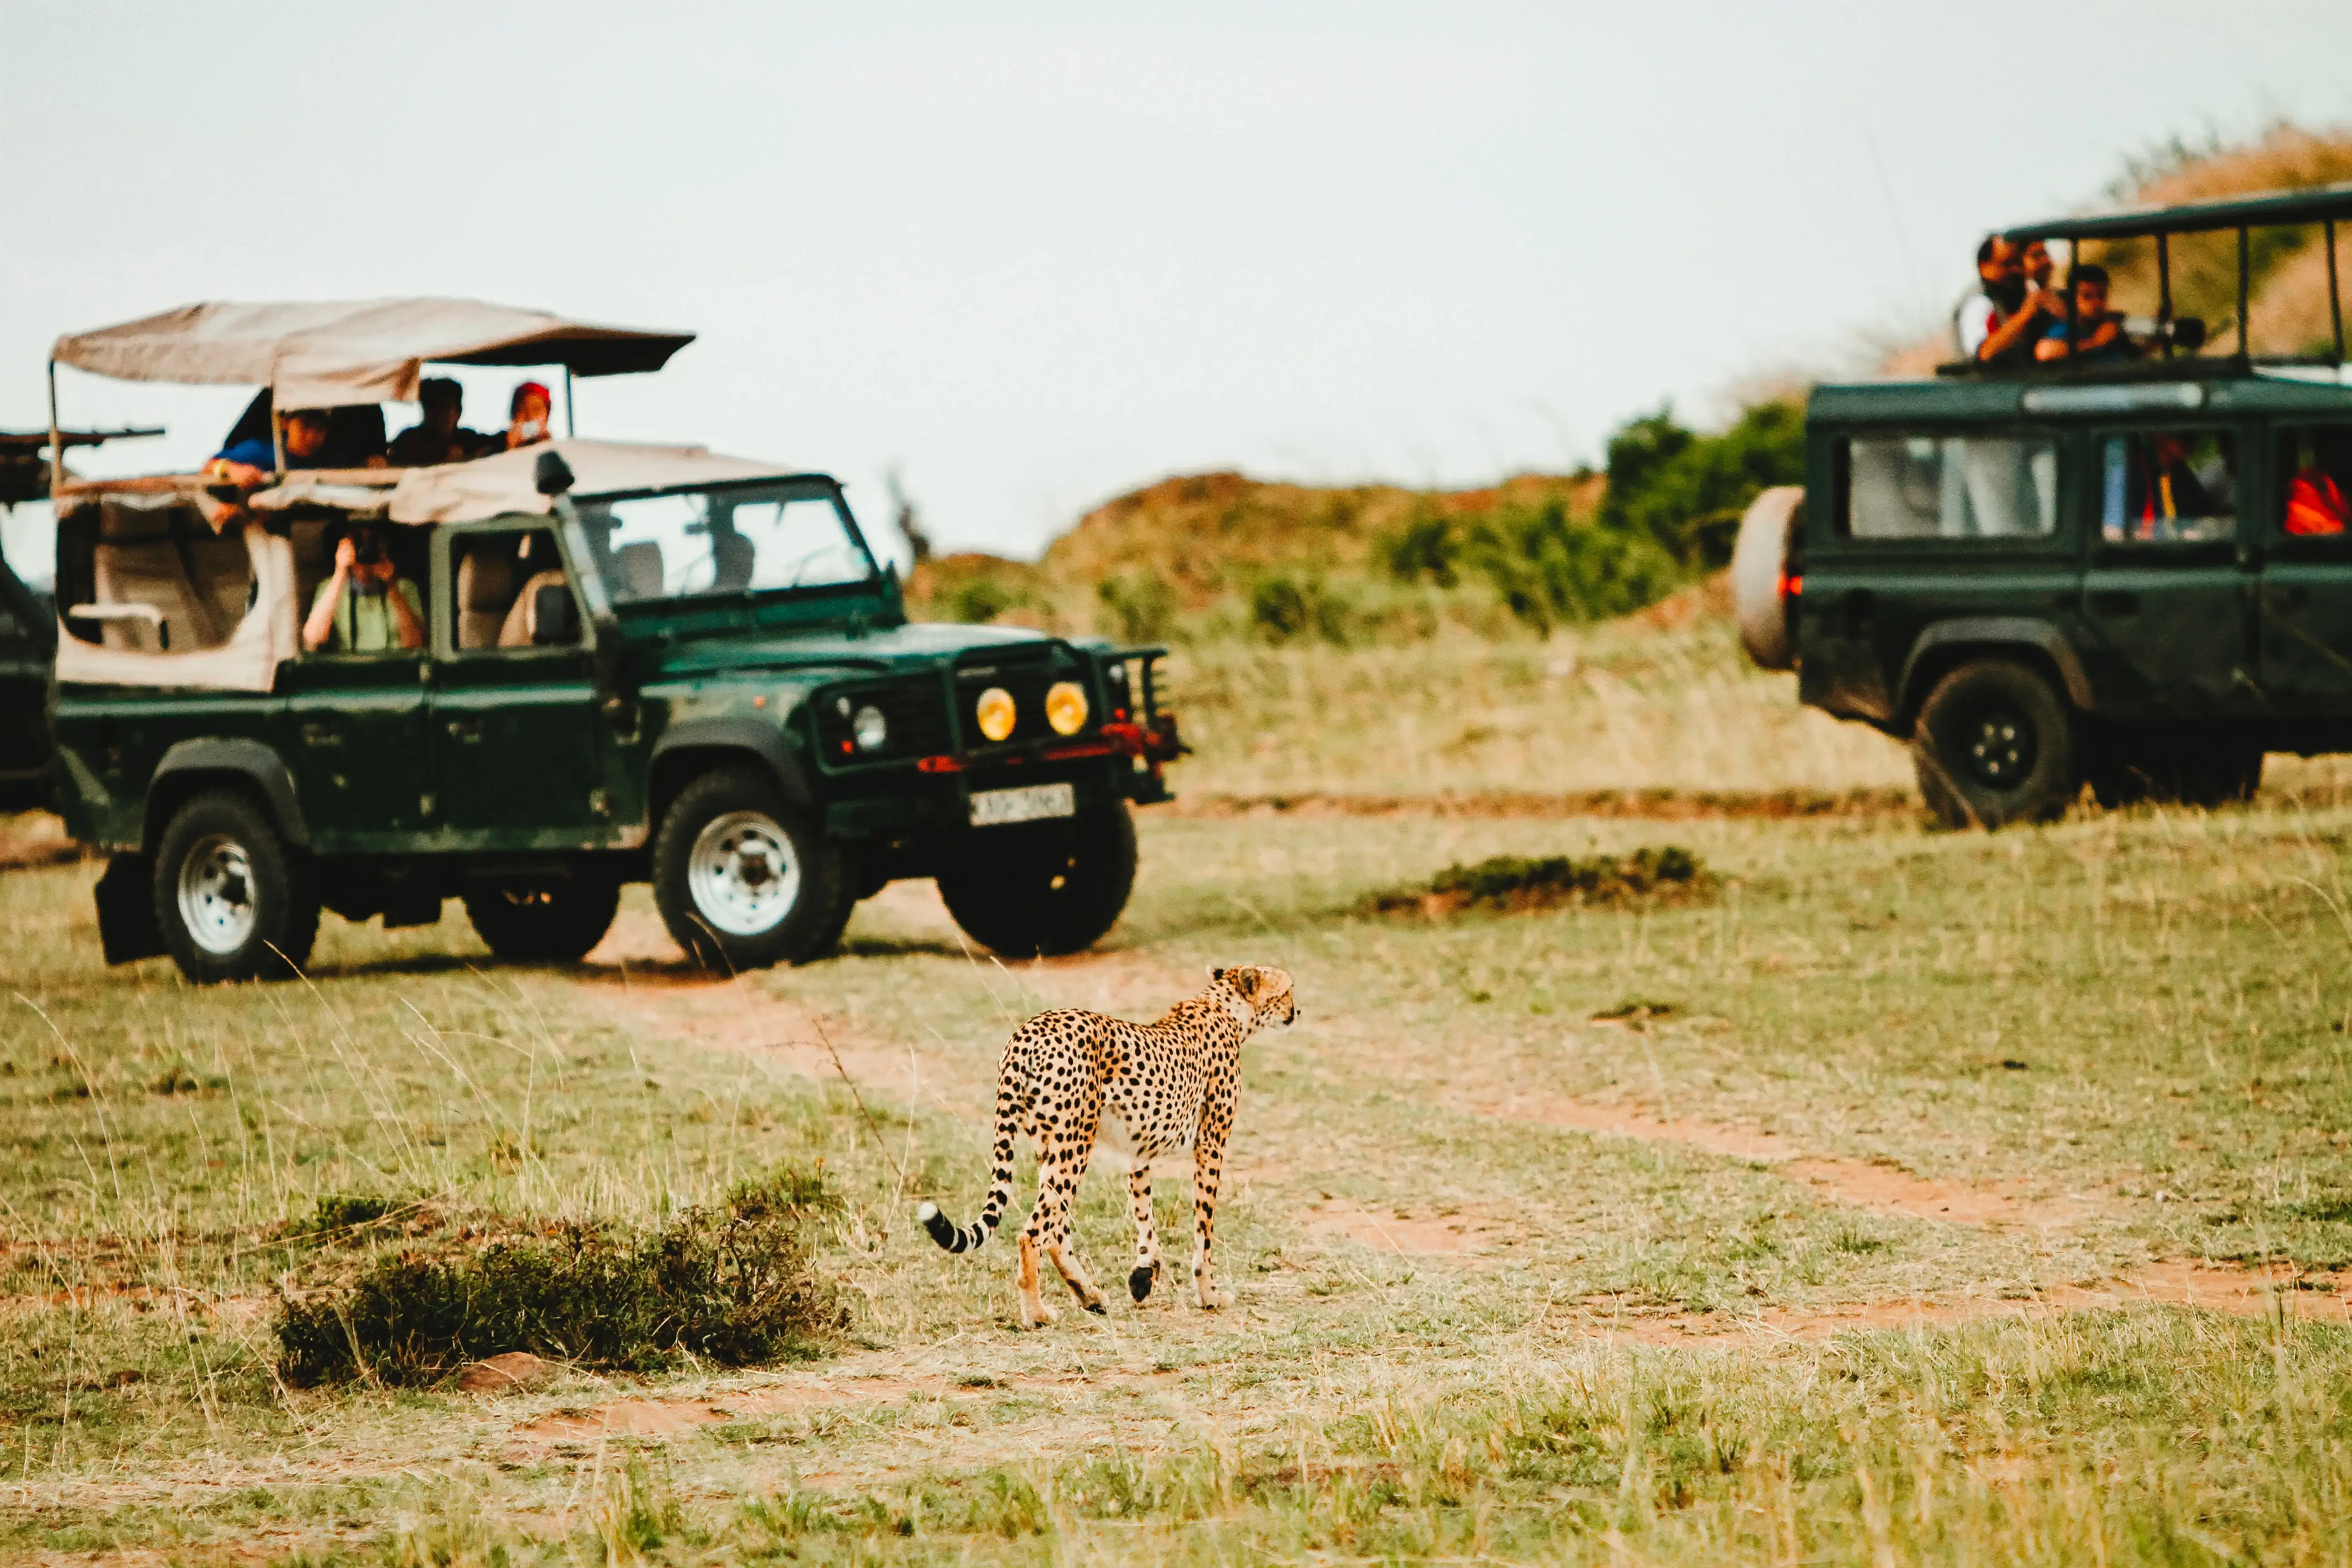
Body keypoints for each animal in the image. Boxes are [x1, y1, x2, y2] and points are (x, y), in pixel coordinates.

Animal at [912, 968, 1298, 1326]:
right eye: (1288, 990)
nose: (1297, 1011)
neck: (1223, 1008)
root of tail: (1029, 1031)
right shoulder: (1211, 1145)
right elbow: (1204, 1229)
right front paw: (1210, 1296)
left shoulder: (1138, 1153)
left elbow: (1144, 1214)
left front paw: (1143, 1276)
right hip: (1075, 1143)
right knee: (1033, 1233)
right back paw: (1037, 1314)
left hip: (1049, 1146)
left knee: (1055, 1229)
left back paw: (1089, 1296)